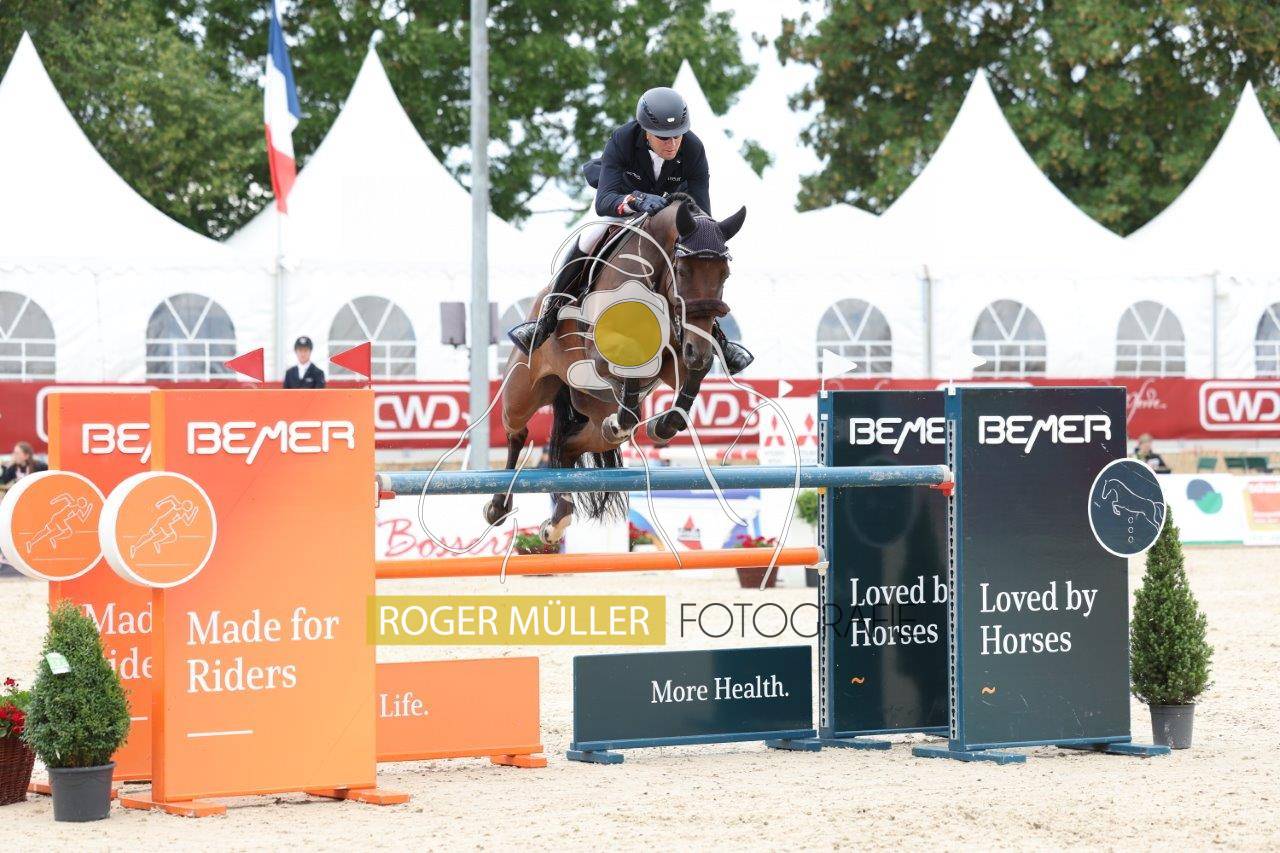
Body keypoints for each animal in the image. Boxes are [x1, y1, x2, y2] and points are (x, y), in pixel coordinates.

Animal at [484, 193, 747, 544]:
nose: (698, 351)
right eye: (682, 270)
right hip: (521, 392)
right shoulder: (600, 354)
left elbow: (691, 379)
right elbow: (629, 359)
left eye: (725, 274)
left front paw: (662, 425)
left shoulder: (676, 356)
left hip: (592, 418)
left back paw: (558, 518)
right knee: (517, 432)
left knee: (568, 447)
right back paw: (498, 506)